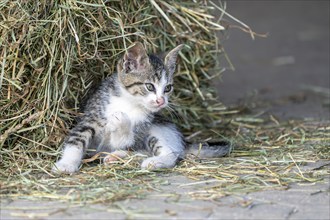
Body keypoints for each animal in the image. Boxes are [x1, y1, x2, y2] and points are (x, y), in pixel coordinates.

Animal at [52, 42, 231, 174]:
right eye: (149, 86)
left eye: (168, 88)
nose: (161, 101)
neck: (130, 103)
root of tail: (184, 141)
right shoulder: (90, 119)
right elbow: (76, 141)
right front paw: (66, 164)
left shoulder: (138, 131)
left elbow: (122, 139)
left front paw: (121, 123)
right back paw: (117, 157)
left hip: (155, 132)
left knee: (170, 153)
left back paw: (153, 162)